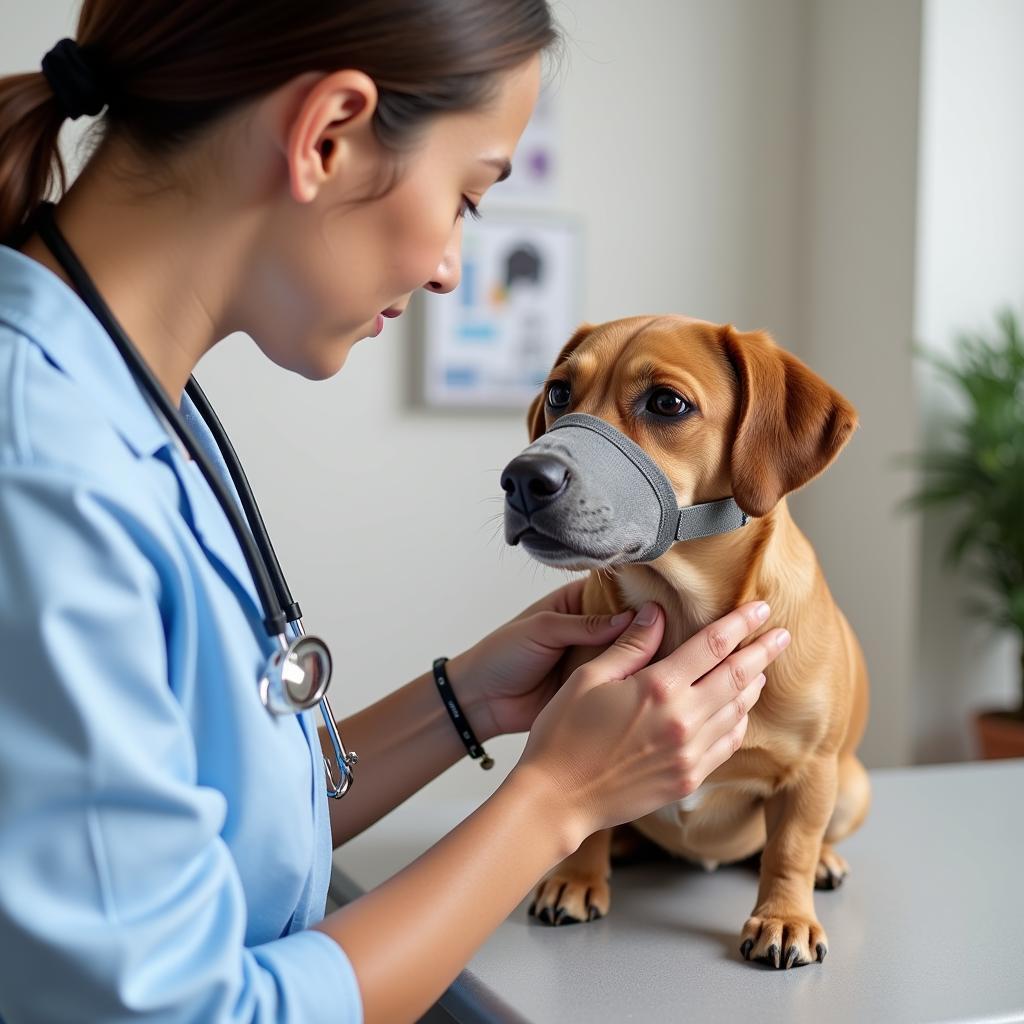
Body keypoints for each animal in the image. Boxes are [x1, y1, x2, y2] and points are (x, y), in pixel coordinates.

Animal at [499, 317, 868, 966]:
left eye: (668, 403)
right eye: (559, 393)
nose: (521, 479)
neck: (681, 611)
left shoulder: (811, 771)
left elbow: (791, 847)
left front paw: (785, 915)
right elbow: (585, 821)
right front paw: (577, 877)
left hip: (851, 785)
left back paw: (825, 862)